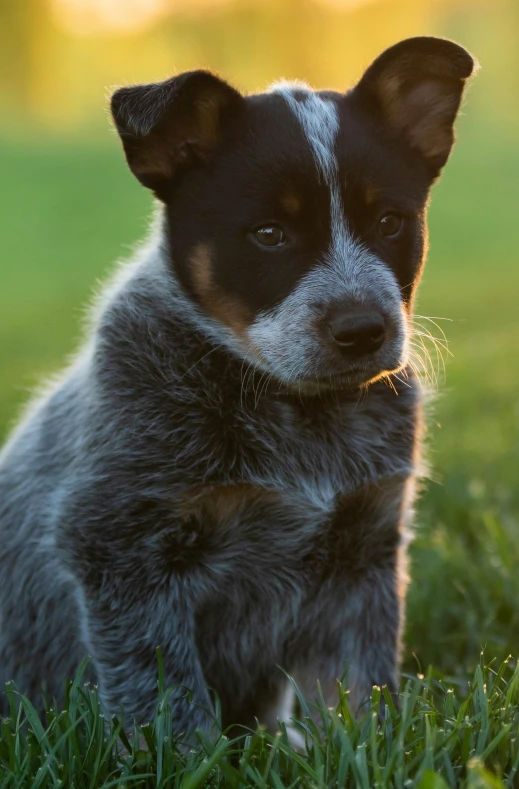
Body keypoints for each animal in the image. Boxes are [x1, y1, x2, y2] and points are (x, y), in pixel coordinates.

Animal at [0, 38, 478, 740]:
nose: (363, 328)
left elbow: (360, 687)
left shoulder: (363, 547)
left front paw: (365, 743)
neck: (300, 414)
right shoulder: (122, 547)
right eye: (269, 233)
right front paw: (189, 752)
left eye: (390, 221)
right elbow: (165, 694)